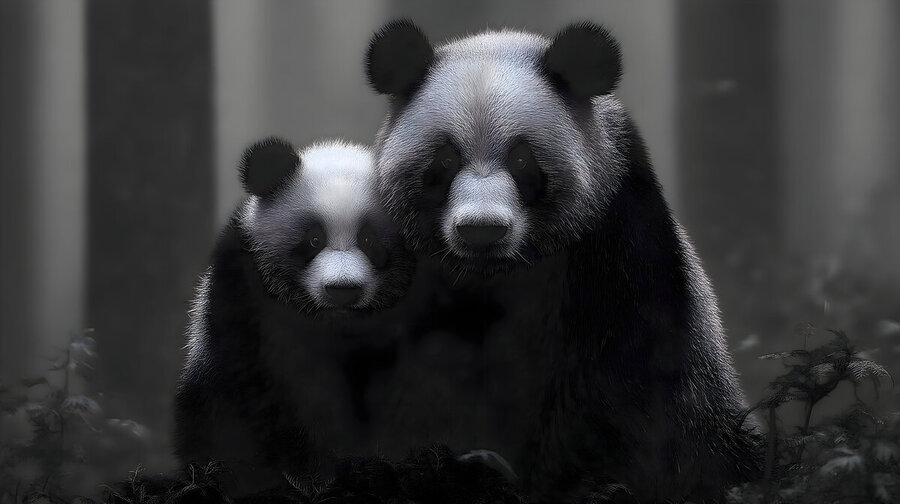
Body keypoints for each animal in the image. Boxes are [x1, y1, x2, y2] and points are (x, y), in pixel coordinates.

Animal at [363, 19, 764, 503]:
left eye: (522, 158)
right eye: (445, 159)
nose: (482, 229)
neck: (498, 274)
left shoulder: (617, 246)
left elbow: (622, 383)